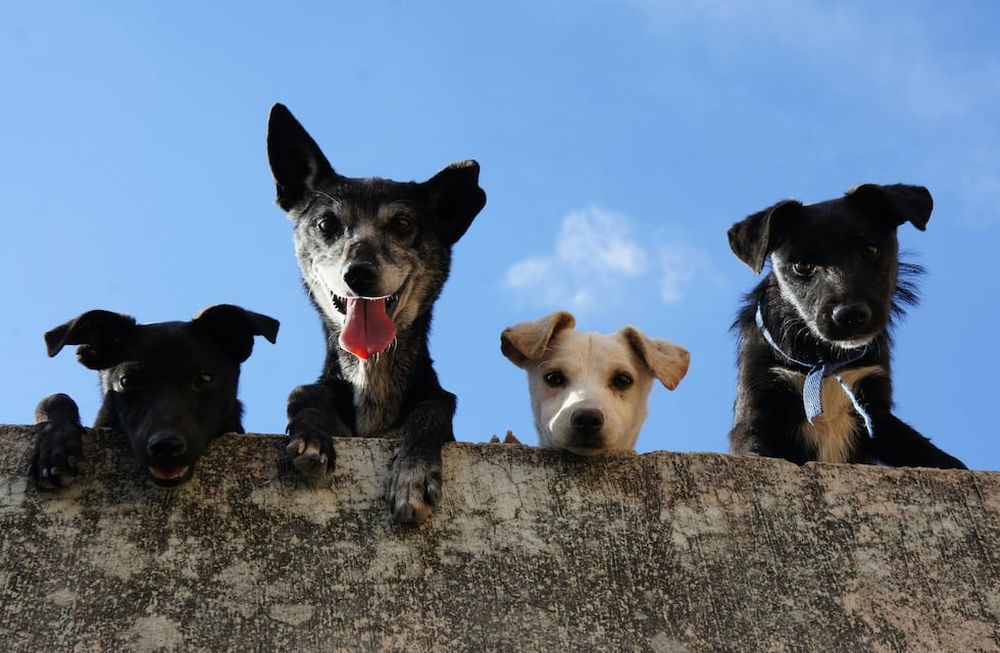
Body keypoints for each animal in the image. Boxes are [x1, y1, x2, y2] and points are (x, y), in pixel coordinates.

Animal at [266, 103, 486, 523]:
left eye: (402, 223)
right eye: (326, 224)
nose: (359, 274)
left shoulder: (436, 405)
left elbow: (432, 409)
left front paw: (414, 474)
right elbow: (302, 392)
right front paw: (311, 436)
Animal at [727, 183, 965, 468]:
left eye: (870, 250)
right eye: (802, 265)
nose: (850, 315)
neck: (824, 360)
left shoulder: (876, 411)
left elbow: (927, 452)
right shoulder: (757, 407)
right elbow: (755, 447)